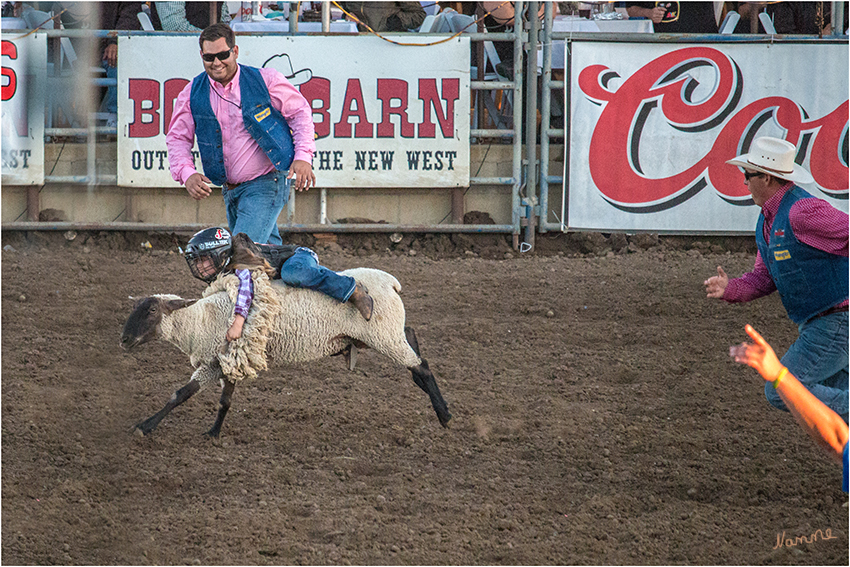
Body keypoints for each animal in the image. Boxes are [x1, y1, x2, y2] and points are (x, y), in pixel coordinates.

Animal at [121, 268, 450, 438]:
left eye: (151, 310)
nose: (123, 340)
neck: (201, 320)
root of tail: (390, 281)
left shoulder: (224, 356)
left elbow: (187, 395)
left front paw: (146, 427)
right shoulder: (222, 361)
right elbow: (202, 396)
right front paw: (212, 432)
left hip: (382, 333)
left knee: (421, 366)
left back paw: (444, 414)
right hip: (386, 332)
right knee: (412, 340)